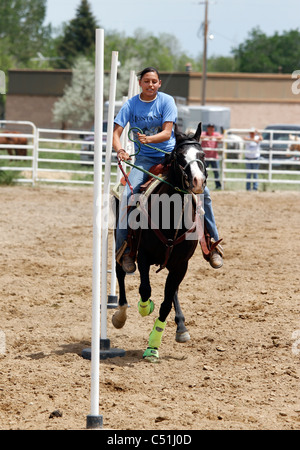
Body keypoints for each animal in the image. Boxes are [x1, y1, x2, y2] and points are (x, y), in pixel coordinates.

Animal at [112, 123, 209, 362]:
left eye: (202, 155)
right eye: (179, 156)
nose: (198, 181)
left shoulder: (181, 265)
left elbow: (166, 303)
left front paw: (153, 346)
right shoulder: (143, 256)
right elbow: (145, 290)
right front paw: (144, 308)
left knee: (171, 292)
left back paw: (181, 328)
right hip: (121, 242)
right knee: (120, 272)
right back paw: (121, 315)